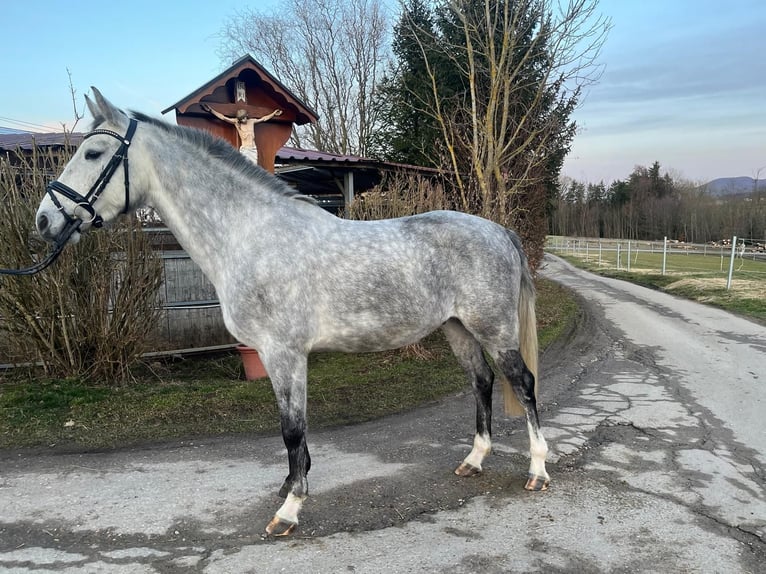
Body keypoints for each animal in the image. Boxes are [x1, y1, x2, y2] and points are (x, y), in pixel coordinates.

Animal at [35, 88, 550, 536]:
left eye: (93, 154)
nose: (44, 219)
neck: (251, 234)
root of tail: (498, 231)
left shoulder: (284, 352)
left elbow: (292, 429)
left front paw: (289, 509)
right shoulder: (272, 354)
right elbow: (290, 430)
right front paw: (289, 485)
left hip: (494, 328)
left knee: (523, 384)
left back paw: (538, 470)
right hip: (458, 328)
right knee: (482, 381)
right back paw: (474, 461)